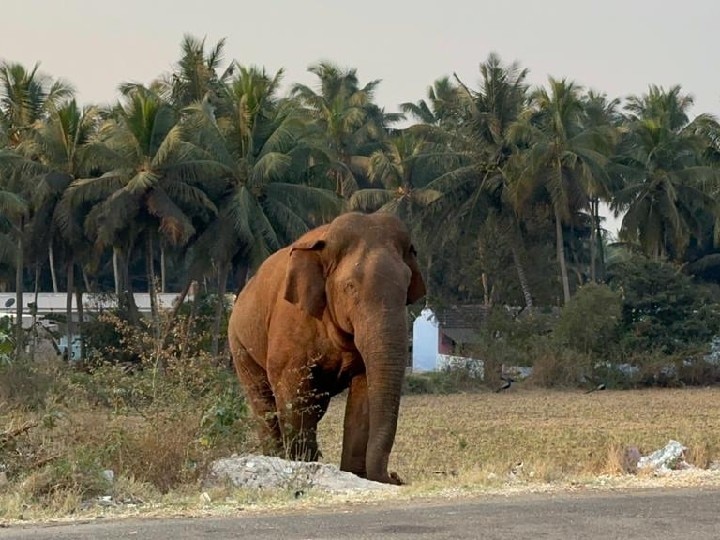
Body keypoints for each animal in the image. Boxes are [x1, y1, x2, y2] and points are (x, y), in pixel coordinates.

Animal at [228, 212, 424, 486]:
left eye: (406, 286)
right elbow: (292, 392)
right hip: (240, 346)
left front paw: (354, 475)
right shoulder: (290, 323)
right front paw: (302, 466)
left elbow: (363, 393)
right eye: (350, 286)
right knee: (264, 405)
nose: (394, 477)